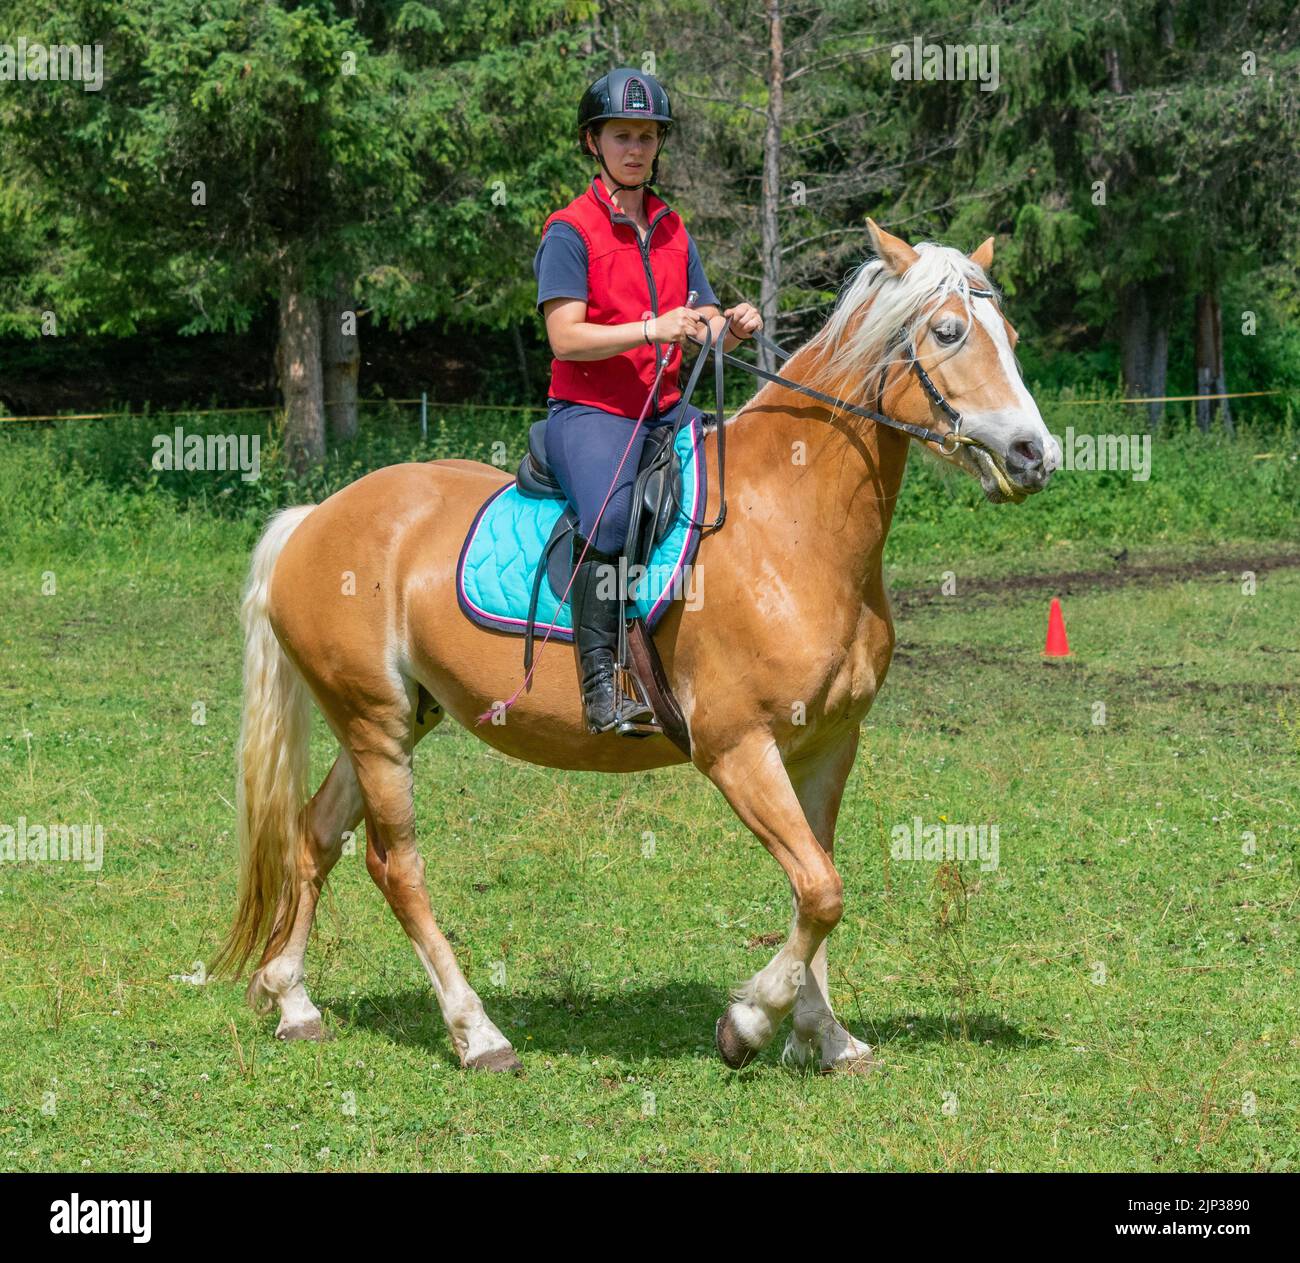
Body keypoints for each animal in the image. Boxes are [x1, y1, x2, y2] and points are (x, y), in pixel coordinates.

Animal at [211, 220, 1060, 1073]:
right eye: (948, 332)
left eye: (1013, 336)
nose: (1036, 454)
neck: (788, 523)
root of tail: (315, 517)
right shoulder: (737, 747)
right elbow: (822, 891)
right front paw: (749, 1021)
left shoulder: (826, 746)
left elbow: (815, 888)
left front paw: (823, 1034)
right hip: (376, 726)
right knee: (396, 867)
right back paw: (478, 1032)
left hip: (394, 719)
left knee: (314, 836)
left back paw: (292, 1000)